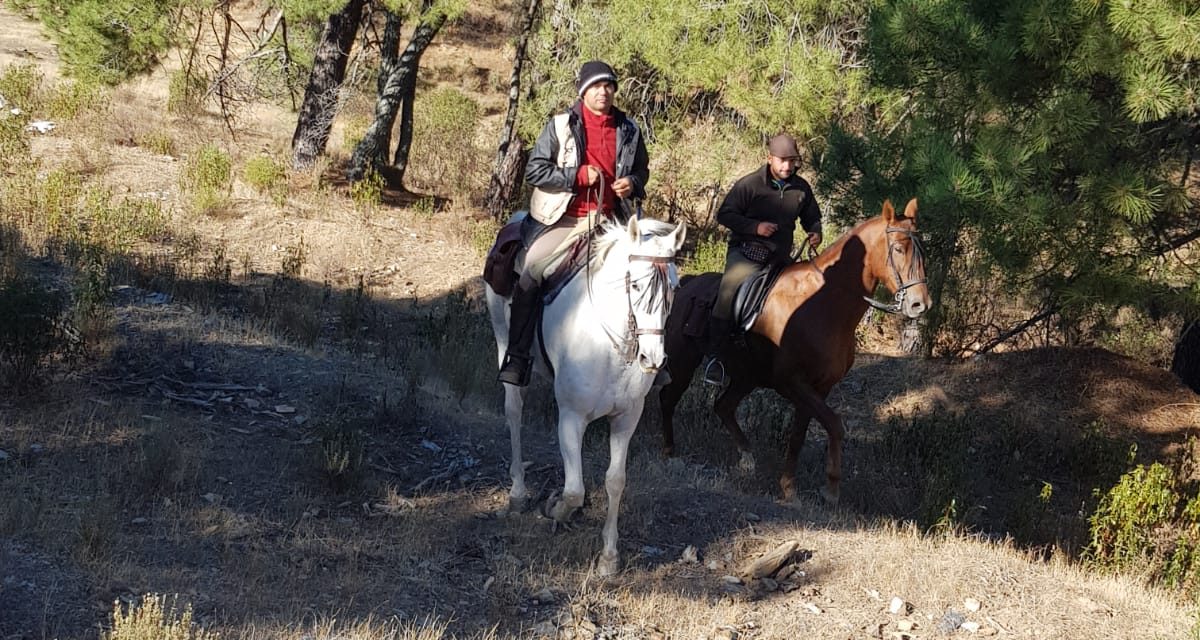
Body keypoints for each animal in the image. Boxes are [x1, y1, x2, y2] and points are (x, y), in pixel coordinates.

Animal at [484, 216, 686, 573]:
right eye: (635, 286)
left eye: (674, 288)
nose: (653, 359)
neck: (611, 346)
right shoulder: (572, 417)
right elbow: (574, 491)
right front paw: (554, 509)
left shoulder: (625, 419)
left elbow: (615, 480)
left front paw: (609, 557)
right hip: (503, 341)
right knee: (514, 412)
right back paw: (518, 493)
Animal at [662, 196, 931, 501]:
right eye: (898, 248)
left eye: (922, 250)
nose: (920, 304)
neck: (823, 303)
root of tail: (685, 284)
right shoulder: (792, 382)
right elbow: (834, 424)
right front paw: (830, 488)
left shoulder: (818, 387)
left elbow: (800, 434)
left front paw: (790, 485)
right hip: (683, 361)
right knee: (668, 399)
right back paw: (670, 453)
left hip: (746, 377)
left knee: (723, 406)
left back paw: (747, 458)